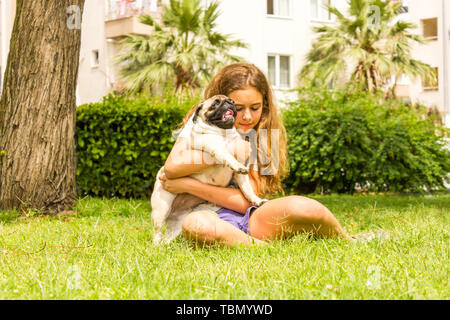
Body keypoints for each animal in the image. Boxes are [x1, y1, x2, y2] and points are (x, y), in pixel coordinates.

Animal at [151, 94, 268, 244]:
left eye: (232, 101)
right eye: (215, 104)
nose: (229, 102)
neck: (224, 133)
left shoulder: (241, 176)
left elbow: (247, 190)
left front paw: (256, 200)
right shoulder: (213, 145)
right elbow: (226, 154)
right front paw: (235, 163)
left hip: (178, 222)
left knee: (167, 237)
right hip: (161, 209)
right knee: (157, 232)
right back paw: (156, 246)